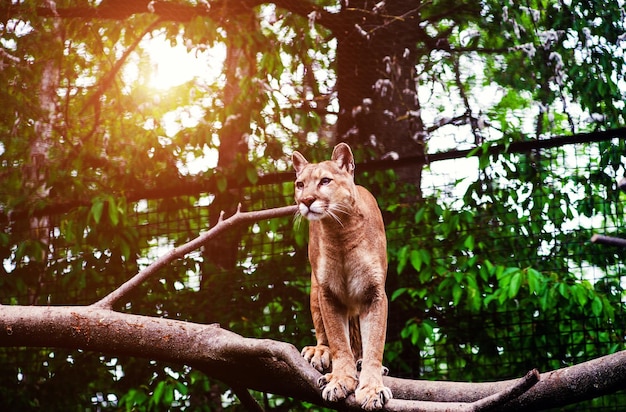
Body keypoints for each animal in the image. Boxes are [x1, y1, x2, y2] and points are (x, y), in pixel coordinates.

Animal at [292, 143, 390, 410]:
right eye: (300, 184)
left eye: (325, 181)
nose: (306, 200)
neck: (340, 232)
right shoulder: (328, 293)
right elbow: (338, 341)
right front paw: (340, 379)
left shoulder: (374, 294)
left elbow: (374, 344)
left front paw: (372, 389)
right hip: (314, 290)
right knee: (325, 334)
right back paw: (319, 353)